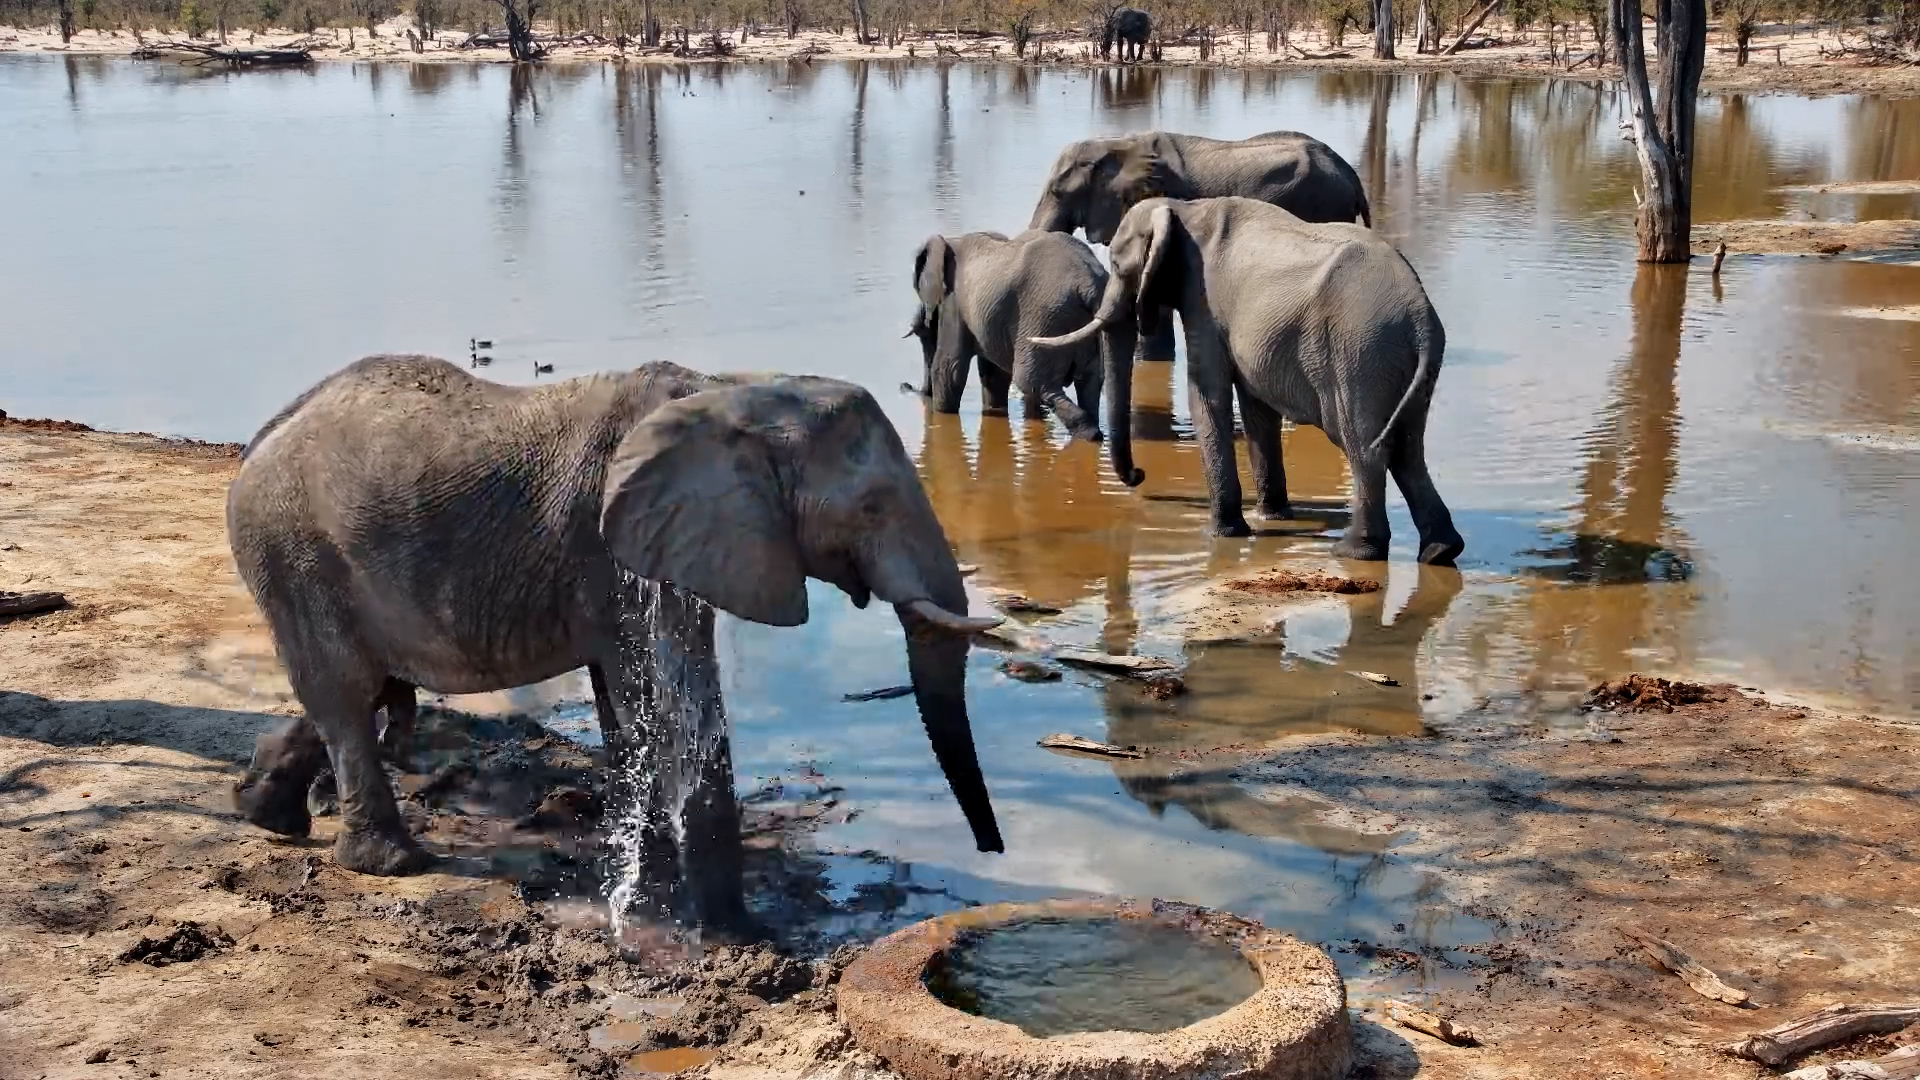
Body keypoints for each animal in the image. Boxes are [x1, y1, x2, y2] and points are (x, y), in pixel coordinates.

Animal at [226, 354, 1006, 884]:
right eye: (871, 507)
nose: (993, 851)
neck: (735, 391)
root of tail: (261, 438)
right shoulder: (625, 552)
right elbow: (663, 692)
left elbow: (623, 694)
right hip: (296, 551)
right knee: (348, 695)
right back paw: (391, 863)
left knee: (353, 691)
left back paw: (265, 813)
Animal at [908, 229, 1133, 443]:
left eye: (923, 334)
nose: (909, 387)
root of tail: (1088, 284)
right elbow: (994, 374)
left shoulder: (953, 303)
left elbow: (950, 368)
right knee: (1089, 381)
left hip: (1043, 318)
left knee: (1032, 381)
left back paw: (1089, 434)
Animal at [1032, 196, 1465, 566]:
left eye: (1119, 267)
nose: (1139, 477)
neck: (1184, 210)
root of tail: (1419, 316)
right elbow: (1257, 408)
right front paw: (1272, 517)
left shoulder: (1204, 300)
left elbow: (1208, 396)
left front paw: (1222, 534)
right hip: (1397, 360)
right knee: (1408, 449)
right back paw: (1440, 552)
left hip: (1360, 351)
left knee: (1365, 447)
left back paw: (1354, 553)